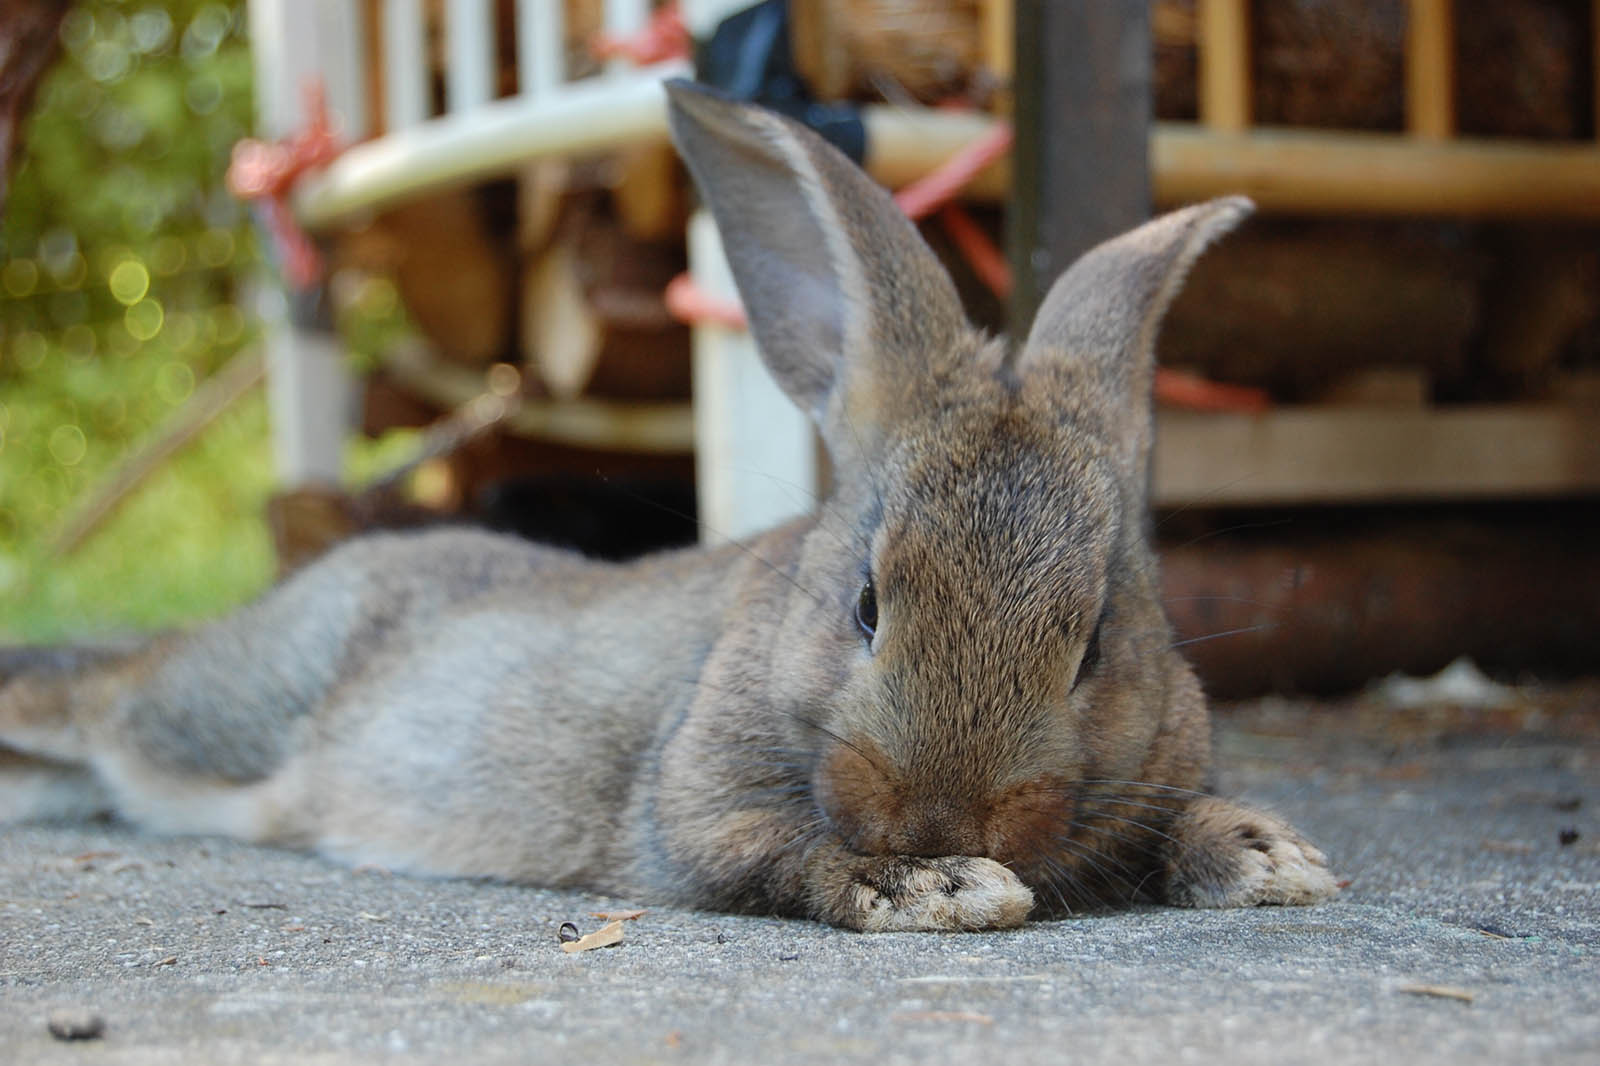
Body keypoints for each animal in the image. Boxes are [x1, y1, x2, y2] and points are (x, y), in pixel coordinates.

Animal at [0, 83, 1337, 928]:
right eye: (863, 605)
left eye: (1095, 643)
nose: (942, 817)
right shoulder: (693, 815)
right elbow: (785, 859)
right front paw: (943, 890)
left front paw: (1268, 858)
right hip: (222, 706)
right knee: (102, 700)